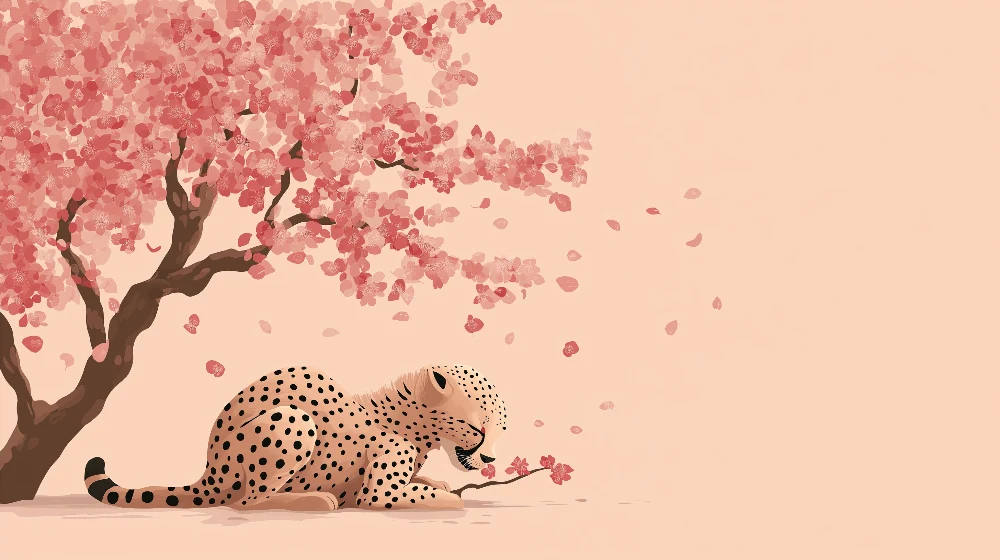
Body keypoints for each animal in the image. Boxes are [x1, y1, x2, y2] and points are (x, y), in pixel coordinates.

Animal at [83, 364, 507, 511]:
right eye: (477, 429)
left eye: (501, 430)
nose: (490, 460)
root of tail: (212, 465)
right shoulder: (380, 492)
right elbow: (418, 496)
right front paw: (448, 496)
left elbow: (423, 481)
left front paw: (437, 481)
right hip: (292, 420)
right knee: (248, 502)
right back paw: (315, 499)